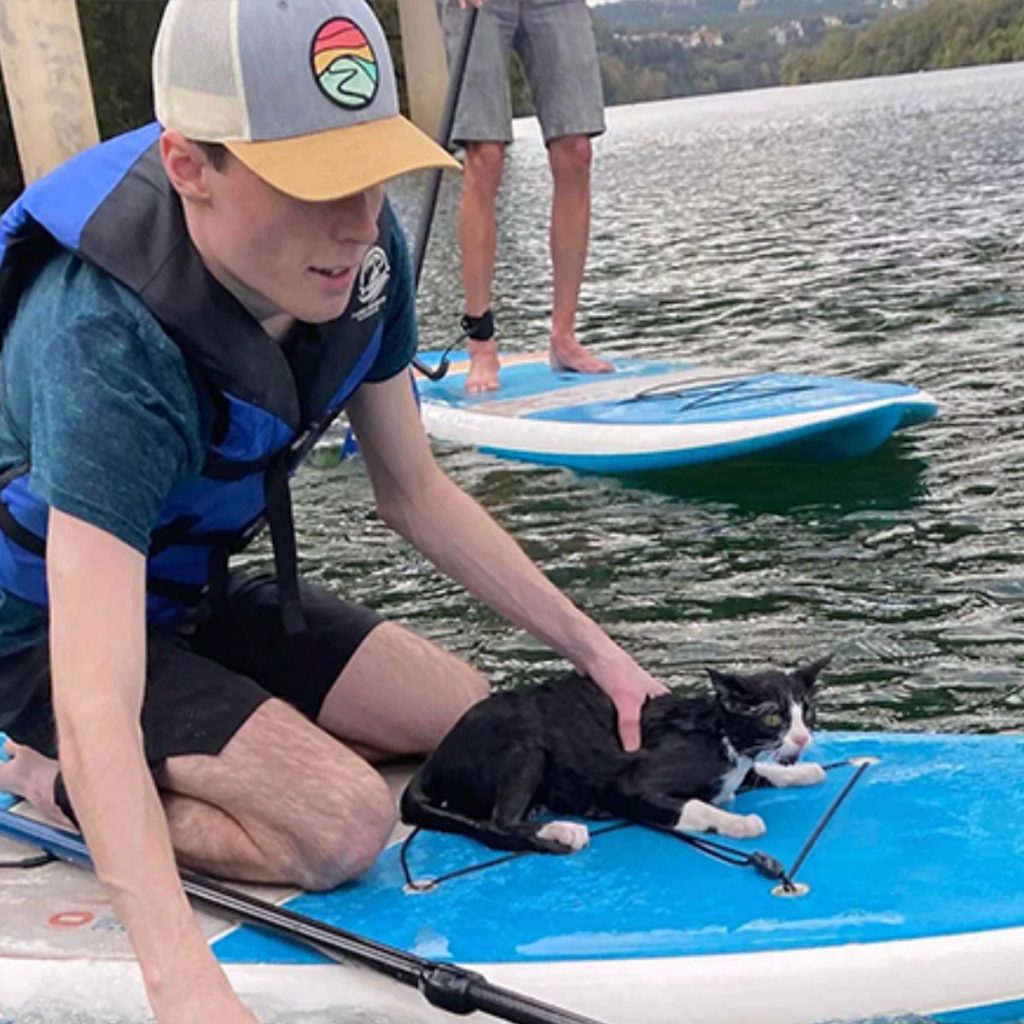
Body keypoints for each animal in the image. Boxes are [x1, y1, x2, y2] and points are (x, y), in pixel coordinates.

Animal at [399, 659, 831, 851]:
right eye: (773, 717)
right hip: (526, 746)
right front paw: (738, 823)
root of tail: (437, 755)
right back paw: (561, 830)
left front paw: (804, 771)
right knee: (498, 824)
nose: (802, 738)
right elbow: (694, 805)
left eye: (806, 712)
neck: (720, 737)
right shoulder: (627, 785)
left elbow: (759, 773)